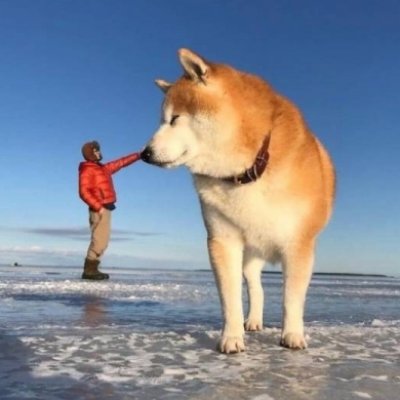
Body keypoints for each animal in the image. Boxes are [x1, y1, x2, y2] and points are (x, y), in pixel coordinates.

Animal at [142, 49, 335, 353]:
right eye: (164, 119)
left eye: (174, 118)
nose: (144, 154)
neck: (249, 171)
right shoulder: (223, 240)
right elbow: (230, 297)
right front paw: (231, 338)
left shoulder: (298, 243)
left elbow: (292, 298)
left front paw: (293, 335)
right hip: (249, 256)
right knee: (256, 288)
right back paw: (253, 321)